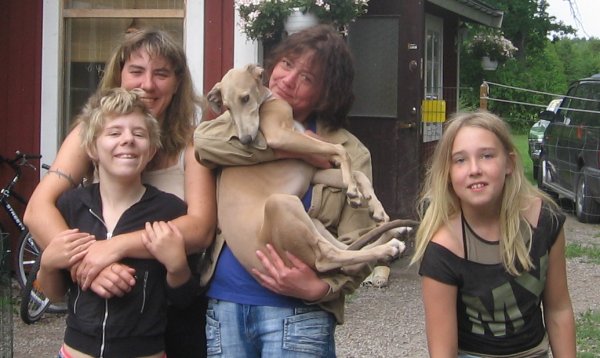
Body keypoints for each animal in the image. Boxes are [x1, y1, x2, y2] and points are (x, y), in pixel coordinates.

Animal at [197, 63, 418, 274]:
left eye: (245, 98)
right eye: (227, 107)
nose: (245, 140)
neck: (267, 102)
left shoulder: (314, 171)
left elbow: (358, 173)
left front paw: (372, 204)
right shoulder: (280, 136)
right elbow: (340, 150)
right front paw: (354, 190)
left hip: (312, 221)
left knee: (348, 256)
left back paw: (396, 234)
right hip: (282, 204)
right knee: (328, 257)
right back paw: (387, 246)